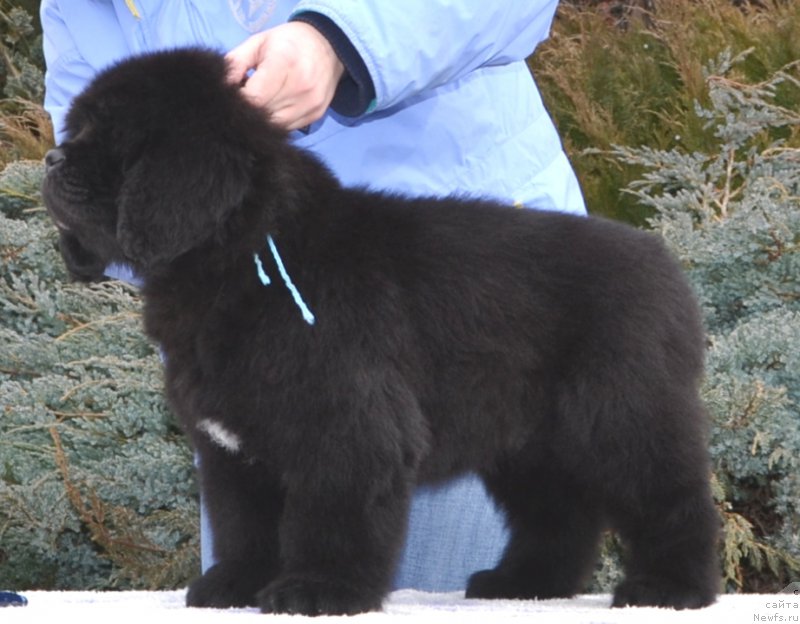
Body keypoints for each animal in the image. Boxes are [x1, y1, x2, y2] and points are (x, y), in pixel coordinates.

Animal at [42, 47, 720, 616]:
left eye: (113, 137)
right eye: (75, 130)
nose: (51, 158)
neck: (244, 251)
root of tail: (665, 264)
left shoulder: (345, 422)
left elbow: (332, 515)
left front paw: (319, 590)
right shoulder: (233, 448)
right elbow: (245, 524)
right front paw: (236, 584)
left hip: (622, 414)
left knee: (673, 497)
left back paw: (670, 587)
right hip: (529, 443)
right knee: (562, 513)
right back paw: (526, 583)